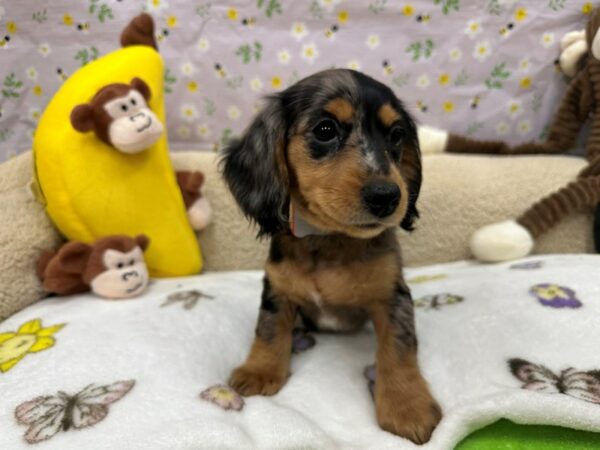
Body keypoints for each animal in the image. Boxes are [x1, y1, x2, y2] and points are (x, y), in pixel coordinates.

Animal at [220, 68, 440, 444]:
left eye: (397, 135)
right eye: (325, 130)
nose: (387, 196)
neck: (330, 240)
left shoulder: (392, 296)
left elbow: (399, 349)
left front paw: (407, 407)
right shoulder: (277, 289)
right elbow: (268, 330)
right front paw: (259, 370)